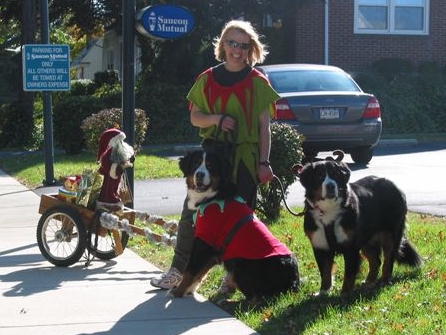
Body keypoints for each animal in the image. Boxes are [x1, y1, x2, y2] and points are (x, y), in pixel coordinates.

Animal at [171, 151, 300, 300]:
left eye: (210, 165)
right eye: (196, 163)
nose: (199, 174)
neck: (213, 196)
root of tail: (294, 280)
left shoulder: (204, 241)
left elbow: (190, 271)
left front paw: (177, 291)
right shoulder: (213, 249)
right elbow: (200, 273)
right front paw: (189, 290)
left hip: (241, 267)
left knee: (257, 296)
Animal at [292, 151, 422, 296]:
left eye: (335, 175)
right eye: (319, 176)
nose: (330, 185)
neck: (328, 210)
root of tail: (394, 185)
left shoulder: (350, 246)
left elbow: (349, 273)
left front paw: (345, 293)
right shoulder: (320, 245)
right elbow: (325, 272)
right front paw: (324, 292)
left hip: (391, 235)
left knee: (388, 260)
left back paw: (384, 280)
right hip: (367, 239)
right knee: (376, 261)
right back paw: (369, 282)